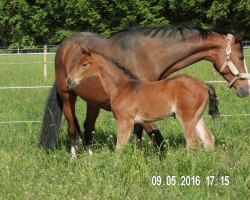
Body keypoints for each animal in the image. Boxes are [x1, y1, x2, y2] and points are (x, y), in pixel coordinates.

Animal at [66, 45, 219, 154]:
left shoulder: (125, 120)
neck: (122, 87)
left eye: (84, 64)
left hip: (186, 117)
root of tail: (203, 84)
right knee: (208, 139)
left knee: (193, 143)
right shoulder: (133, 123)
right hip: (197, 117)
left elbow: (119, 148)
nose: (69, 80)